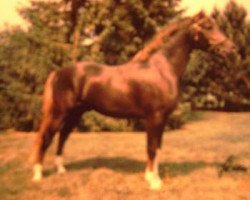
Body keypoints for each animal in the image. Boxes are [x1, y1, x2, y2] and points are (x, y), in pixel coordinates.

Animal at [30, 12, 235, 189]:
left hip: (75, 114)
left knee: (63, 136)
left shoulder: (162, 119)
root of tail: (59, 72)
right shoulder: (154, 117)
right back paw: (38, 175)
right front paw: (154, 182)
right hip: (60, 113)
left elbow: (157, 148)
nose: (231, 48)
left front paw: (153, 177)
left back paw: (61, 170)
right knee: (46, 137)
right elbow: (151, 148)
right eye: (208, 26)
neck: (162, 69)